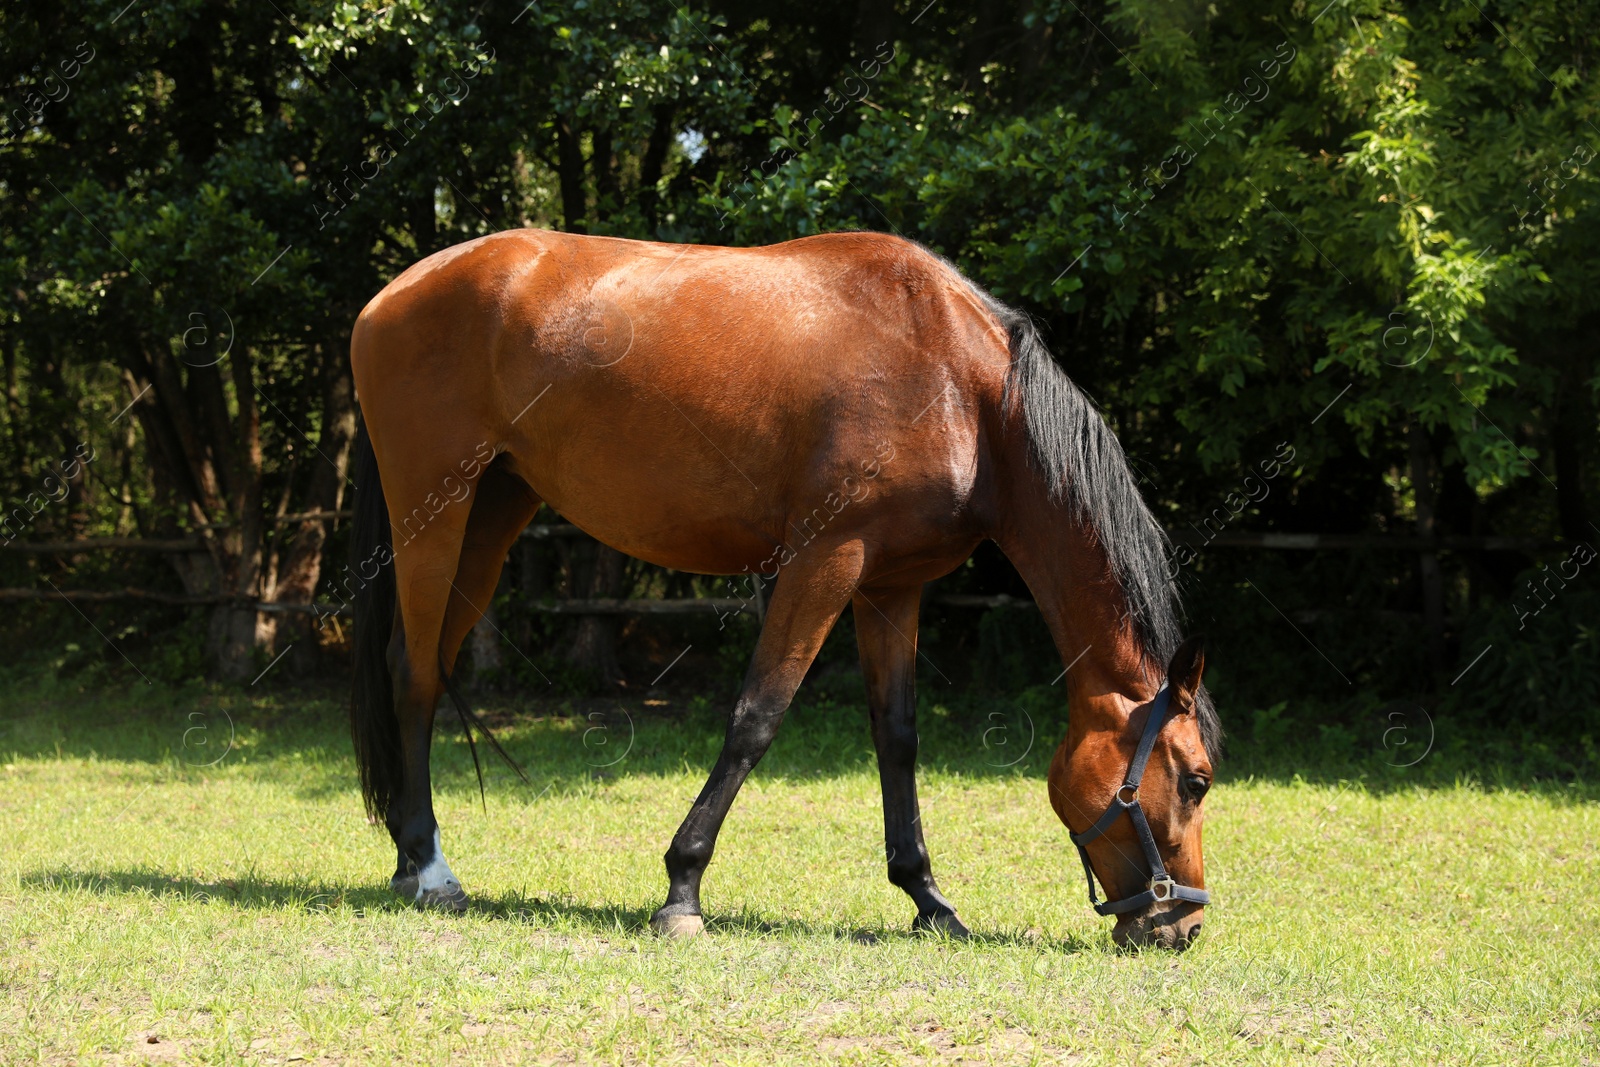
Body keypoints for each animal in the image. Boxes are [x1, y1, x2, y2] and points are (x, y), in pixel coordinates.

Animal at [350, 227, 1216, 953]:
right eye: (1196, 779)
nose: (1181, 925)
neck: (960, 383)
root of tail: (391, 293)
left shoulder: (892, 585)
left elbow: (897, 735)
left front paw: (927, 898)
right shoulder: (824, 560)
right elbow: (756, 717)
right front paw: (682, 888)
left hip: (491, 517)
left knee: (419, 664)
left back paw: (406, 858)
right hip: (436, 510)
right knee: (414, 672)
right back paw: (430, 868)